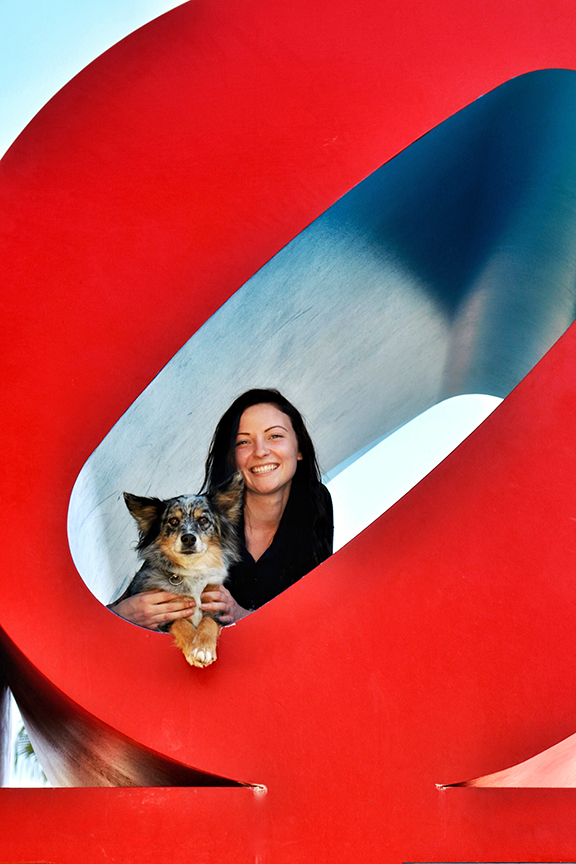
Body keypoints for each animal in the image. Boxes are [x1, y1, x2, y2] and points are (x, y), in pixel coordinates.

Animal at [117, 472, 243, 668]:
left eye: (203, 520)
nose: (189, 538)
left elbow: (208, 621)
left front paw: (203, 647)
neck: (192, 572)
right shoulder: (164, 615)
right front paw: (193, 648)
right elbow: (181, 622)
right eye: (173, 521)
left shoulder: (216, 607)